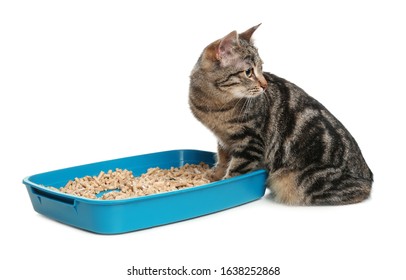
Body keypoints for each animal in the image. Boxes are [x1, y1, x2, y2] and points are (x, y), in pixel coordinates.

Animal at [189, 24, 372, 206]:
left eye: (261, 68)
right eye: (248, 72)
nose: (264, 85)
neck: (213, 104)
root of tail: (369, 178)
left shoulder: (249, 142)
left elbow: (236, 170)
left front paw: (225, 183)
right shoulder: (223, 139)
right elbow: (222, 159)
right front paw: (214, 175)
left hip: (302, 181)